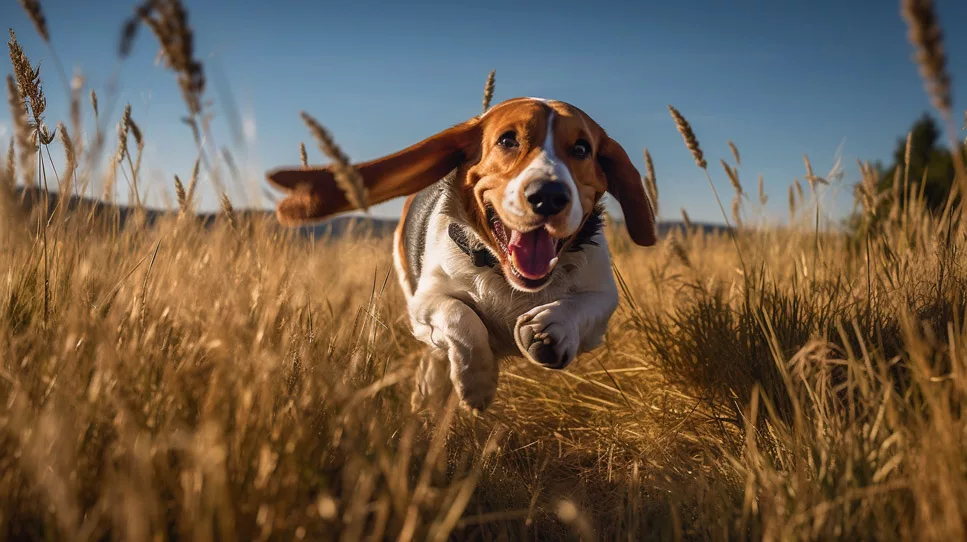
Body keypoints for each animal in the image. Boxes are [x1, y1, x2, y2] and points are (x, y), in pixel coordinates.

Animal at [264, 96, 656, 412]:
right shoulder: (424, 304)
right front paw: (477, 382)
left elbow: (582, 305)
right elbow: (461, 317)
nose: (549, 195)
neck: (504, 274)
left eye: (581, 149)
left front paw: (550, 328)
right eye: (508, 139)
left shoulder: (603, 299)